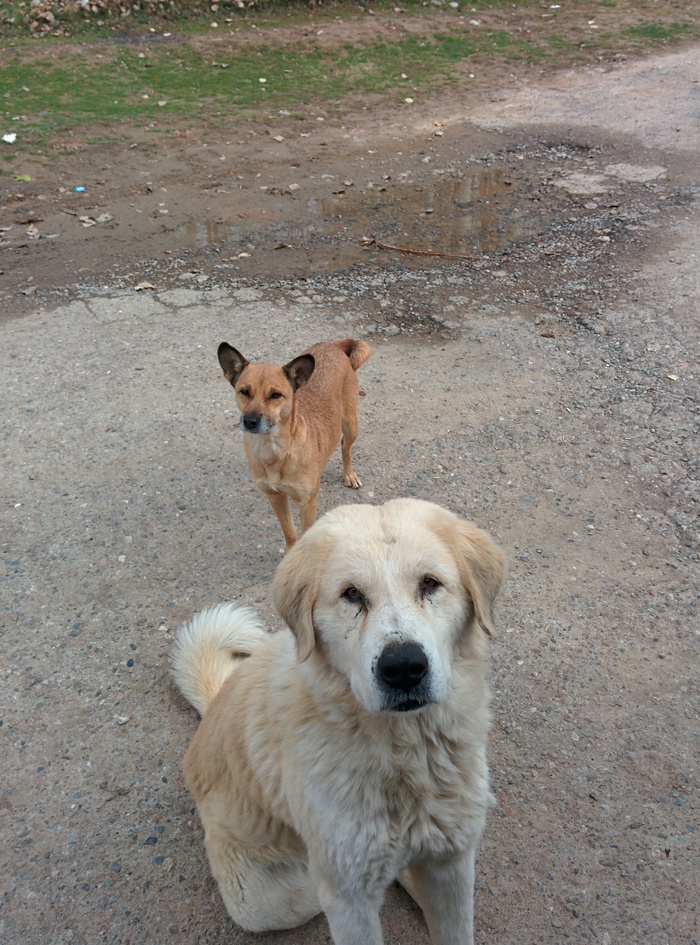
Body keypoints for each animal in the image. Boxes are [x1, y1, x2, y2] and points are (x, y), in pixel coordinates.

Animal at [172, 498, 506, 940]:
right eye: (352, 594)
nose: (403, 668)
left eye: (429, 584)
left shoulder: (453, 865)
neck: (406, 755)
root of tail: (211, 707)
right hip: (276, 902)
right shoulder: (348, 901)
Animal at [217, 338, 372, 544]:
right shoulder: (275, 497)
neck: (275, 450)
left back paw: (349, 475)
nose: (249, 421)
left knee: (345, 447)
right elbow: (290, 534)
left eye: (275, 395)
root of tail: (332, 345)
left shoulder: (307, 503)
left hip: (350, 425)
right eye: (244, 391)